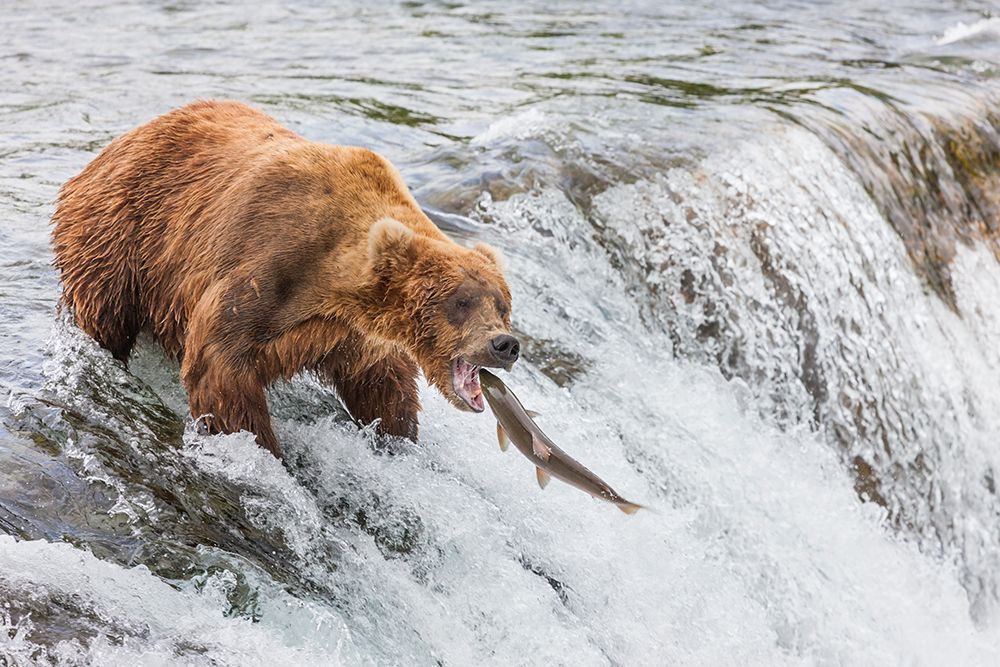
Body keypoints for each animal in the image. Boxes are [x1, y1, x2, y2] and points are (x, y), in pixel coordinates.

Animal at [51, 100, 519, 457]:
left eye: (502, 305)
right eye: (460, 301)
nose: (505, 344)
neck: (332, 281)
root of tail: (116, 144)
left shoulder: (351, 333)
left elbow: (383, 384)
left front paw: (397, 437)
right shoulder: (265, 268)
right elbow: (219, 367)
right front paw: (264, 449)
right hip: (122, 238)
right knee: (105, 315)